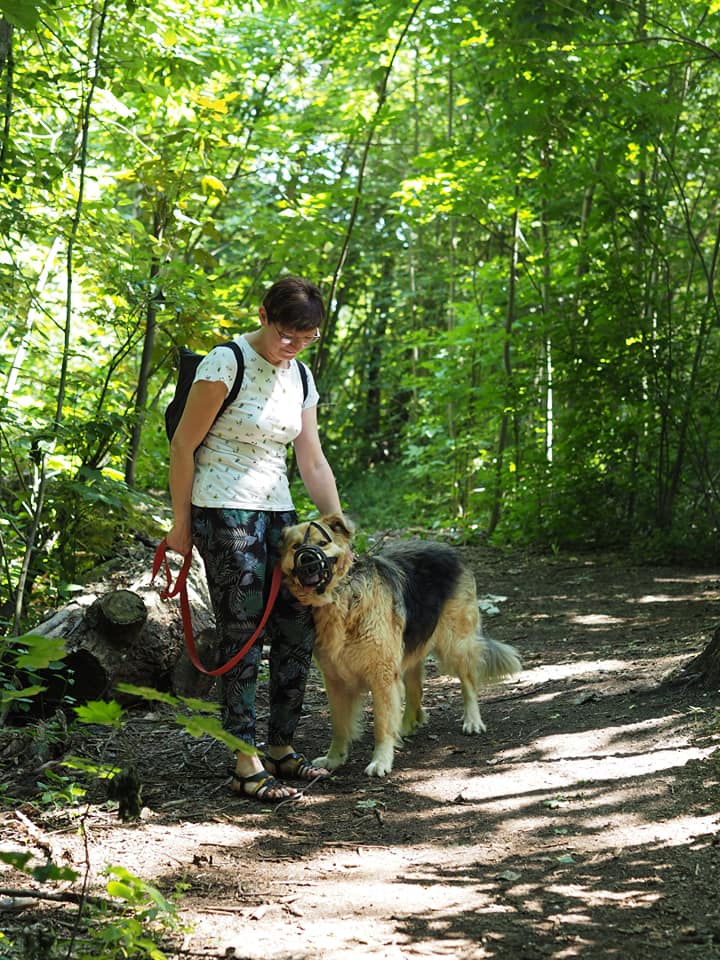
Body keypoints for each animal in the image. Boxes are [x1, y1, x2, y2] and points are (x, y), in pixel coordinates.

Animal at [278, 512, 520, 776]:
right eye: (295, 547)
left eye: (322, 543)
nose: (307, 558)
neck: (343, 597)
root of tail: (447, 547)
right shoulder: (335, 680)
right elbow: (340, 726)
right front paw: (334, 759)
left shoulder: (382, 675)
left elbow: (381, 724)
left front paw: (381, 760)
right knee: (415, 688)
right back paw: (406, 726)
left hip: (455, 643)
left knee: (468, 682)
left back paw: (472, 720)